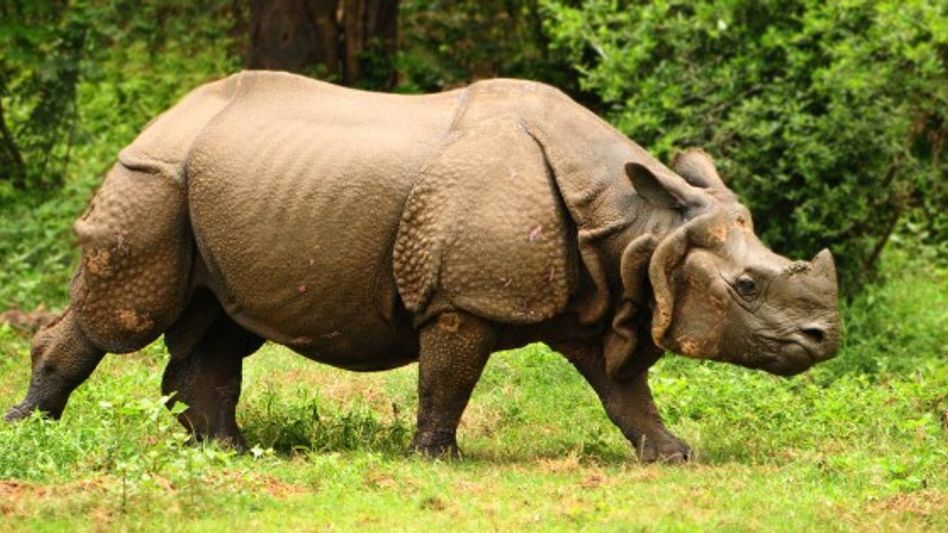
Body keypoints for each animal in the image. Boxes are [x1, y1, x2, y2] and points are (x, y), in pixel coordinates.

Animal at [6, 71, 840, 462]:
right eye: (748, 285)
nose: (826, 337)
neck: (639, 228)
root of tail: (164, 117)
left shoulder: (601, 296)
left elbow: (625, 391)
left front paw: (676, 455)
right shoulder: (462, 297)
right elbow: (448, 378)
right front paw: (439, 457)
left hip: (211, 185)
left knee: (219, 324)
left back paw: (229, 450)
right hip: (153, 176)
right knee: (123, 314)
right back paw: (31, 433)